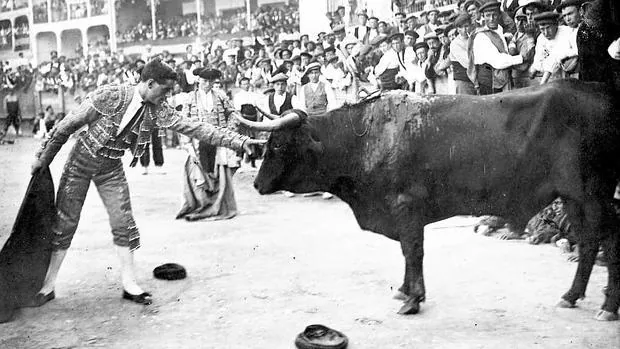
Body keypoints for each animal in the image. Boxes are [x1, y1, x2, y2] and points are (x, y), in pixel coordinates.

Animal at [252, 79, 620, 318]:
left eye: (279, 145)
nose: (256, 184)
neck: (365, 138)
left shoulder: (406, 207)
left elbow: (413, 251)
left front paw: (413, 299)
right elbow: (407, 252)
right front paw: (405, 290)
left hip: (593, 194)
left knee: (609, 240)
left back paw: (607, 307)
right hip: (573, 198)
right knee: (589, 242)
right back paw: (571, 296)